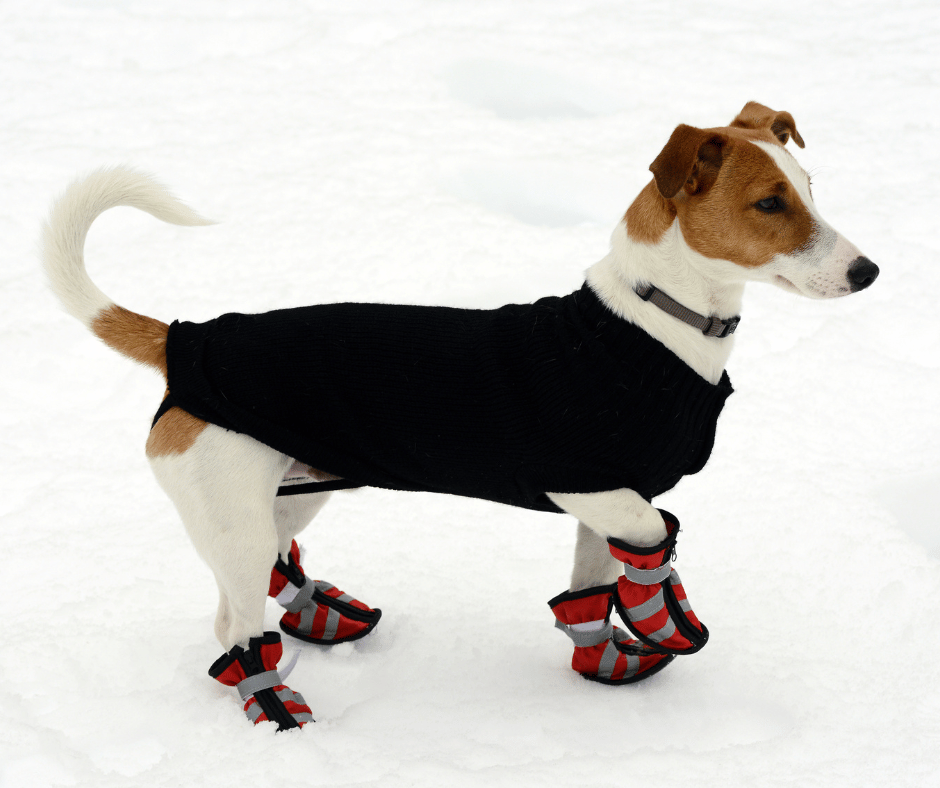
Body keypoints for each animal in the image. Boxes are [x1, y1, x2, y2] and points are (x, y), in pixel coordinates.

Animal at [42, 101, 880, 728]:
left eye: (811, 189)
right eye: (768, 204)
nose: (868, 271)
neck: (650, 326)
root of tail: (186, 340)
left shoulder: (603, 499)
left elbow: (593, 582)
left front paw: (604, 654)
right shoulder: (588, 485)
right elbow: (652, 537)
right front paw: (662, 612)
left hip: (289, 490)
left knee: (258, 578)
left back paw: (317, 614)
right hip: (235, 509)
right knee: (235, 626)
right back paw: (275, 703)